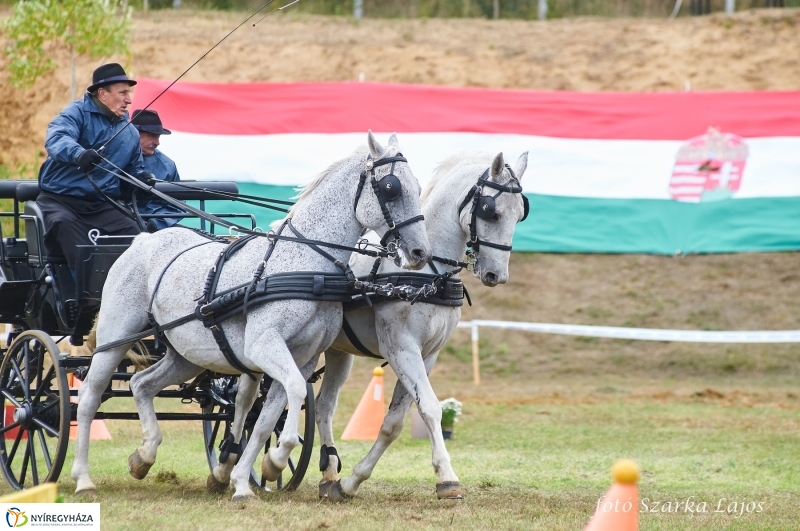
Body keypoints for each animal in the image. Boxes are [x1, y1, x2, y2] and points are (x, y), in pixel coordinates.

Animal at [69, 131, 432, 500]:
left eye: (417, 186)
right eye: (391, 188)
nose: (421, 252)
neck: (307, 266)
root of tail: (141, 240)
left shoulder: (303, 358)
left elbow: (264, 420)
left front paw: (246, 479)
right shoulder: (264, 346)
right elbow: (293, 395)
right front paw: (275, 460)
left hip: (187, 355)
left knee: (142, 384)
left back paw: (143, 457)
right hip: (115, 338)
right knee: (89, 397)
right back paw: (83, 478)